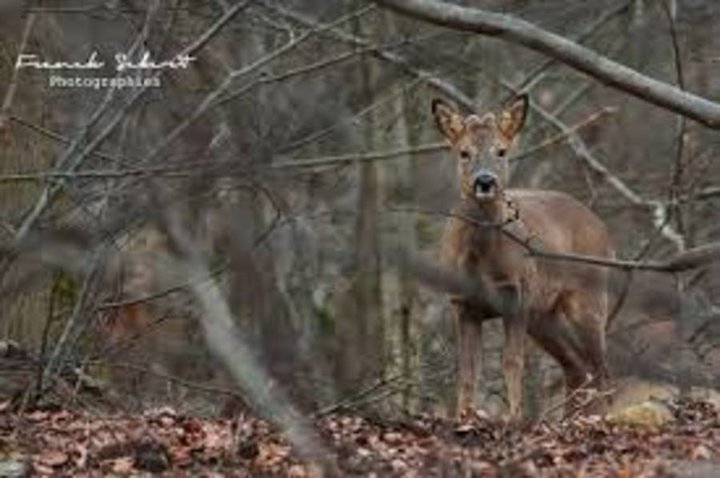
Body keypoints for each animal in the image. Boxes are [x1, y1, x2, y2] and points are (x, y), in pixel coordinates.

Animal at [434, 94, 612, 418]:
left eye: (501, 151)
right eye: (464, 152)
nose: (485, 181)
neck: (480, 260)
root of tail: (600, 225)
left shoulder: (516, 293)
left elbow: (512, 361)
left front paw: (513, 417)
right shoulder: (462, 303)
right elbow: (468, 370)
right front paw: (463, 416)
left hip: (589, 296)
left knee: (600, 367)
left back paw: (601, 417)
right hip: (544, 314)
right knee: (576, 365)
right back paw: (568, 419)